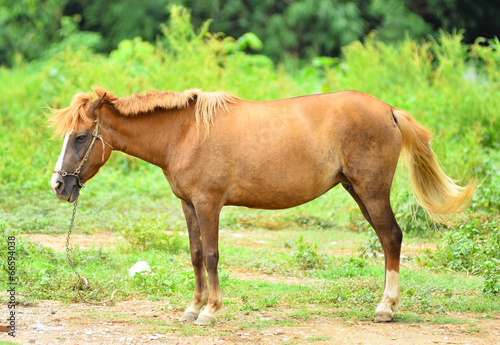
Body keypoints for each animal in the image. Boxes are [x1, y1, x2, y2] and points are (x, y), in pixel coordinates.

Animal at [48, 87, 474, 324]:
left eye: (82, 137)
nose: (59, 185)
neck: (185, 132)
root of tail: (388, 110)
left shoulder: (209, 204)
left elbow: (212, 256)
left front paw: (211, 312)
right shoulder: (188, 205)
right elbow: (196, 255)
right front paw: (193, 308)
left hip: (371, 191)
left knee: (392, 238)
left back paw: (386, 307)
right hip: (357, 190)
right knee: (388, 240)